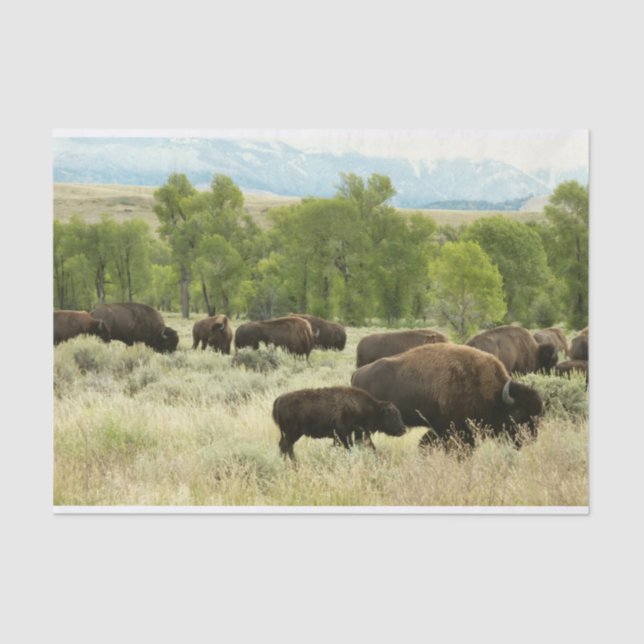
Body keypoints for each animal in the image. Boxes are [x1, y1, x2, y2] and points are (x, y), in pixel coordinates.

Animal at [272, 386, 406, 460]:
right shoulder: (344, 433)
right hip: (292, 433)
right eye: (392, 415)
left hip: (291, 434)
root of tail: (279, 400)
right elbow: (349, 447)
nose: (403, 429)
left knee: (286, 447)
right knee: (285, 446)